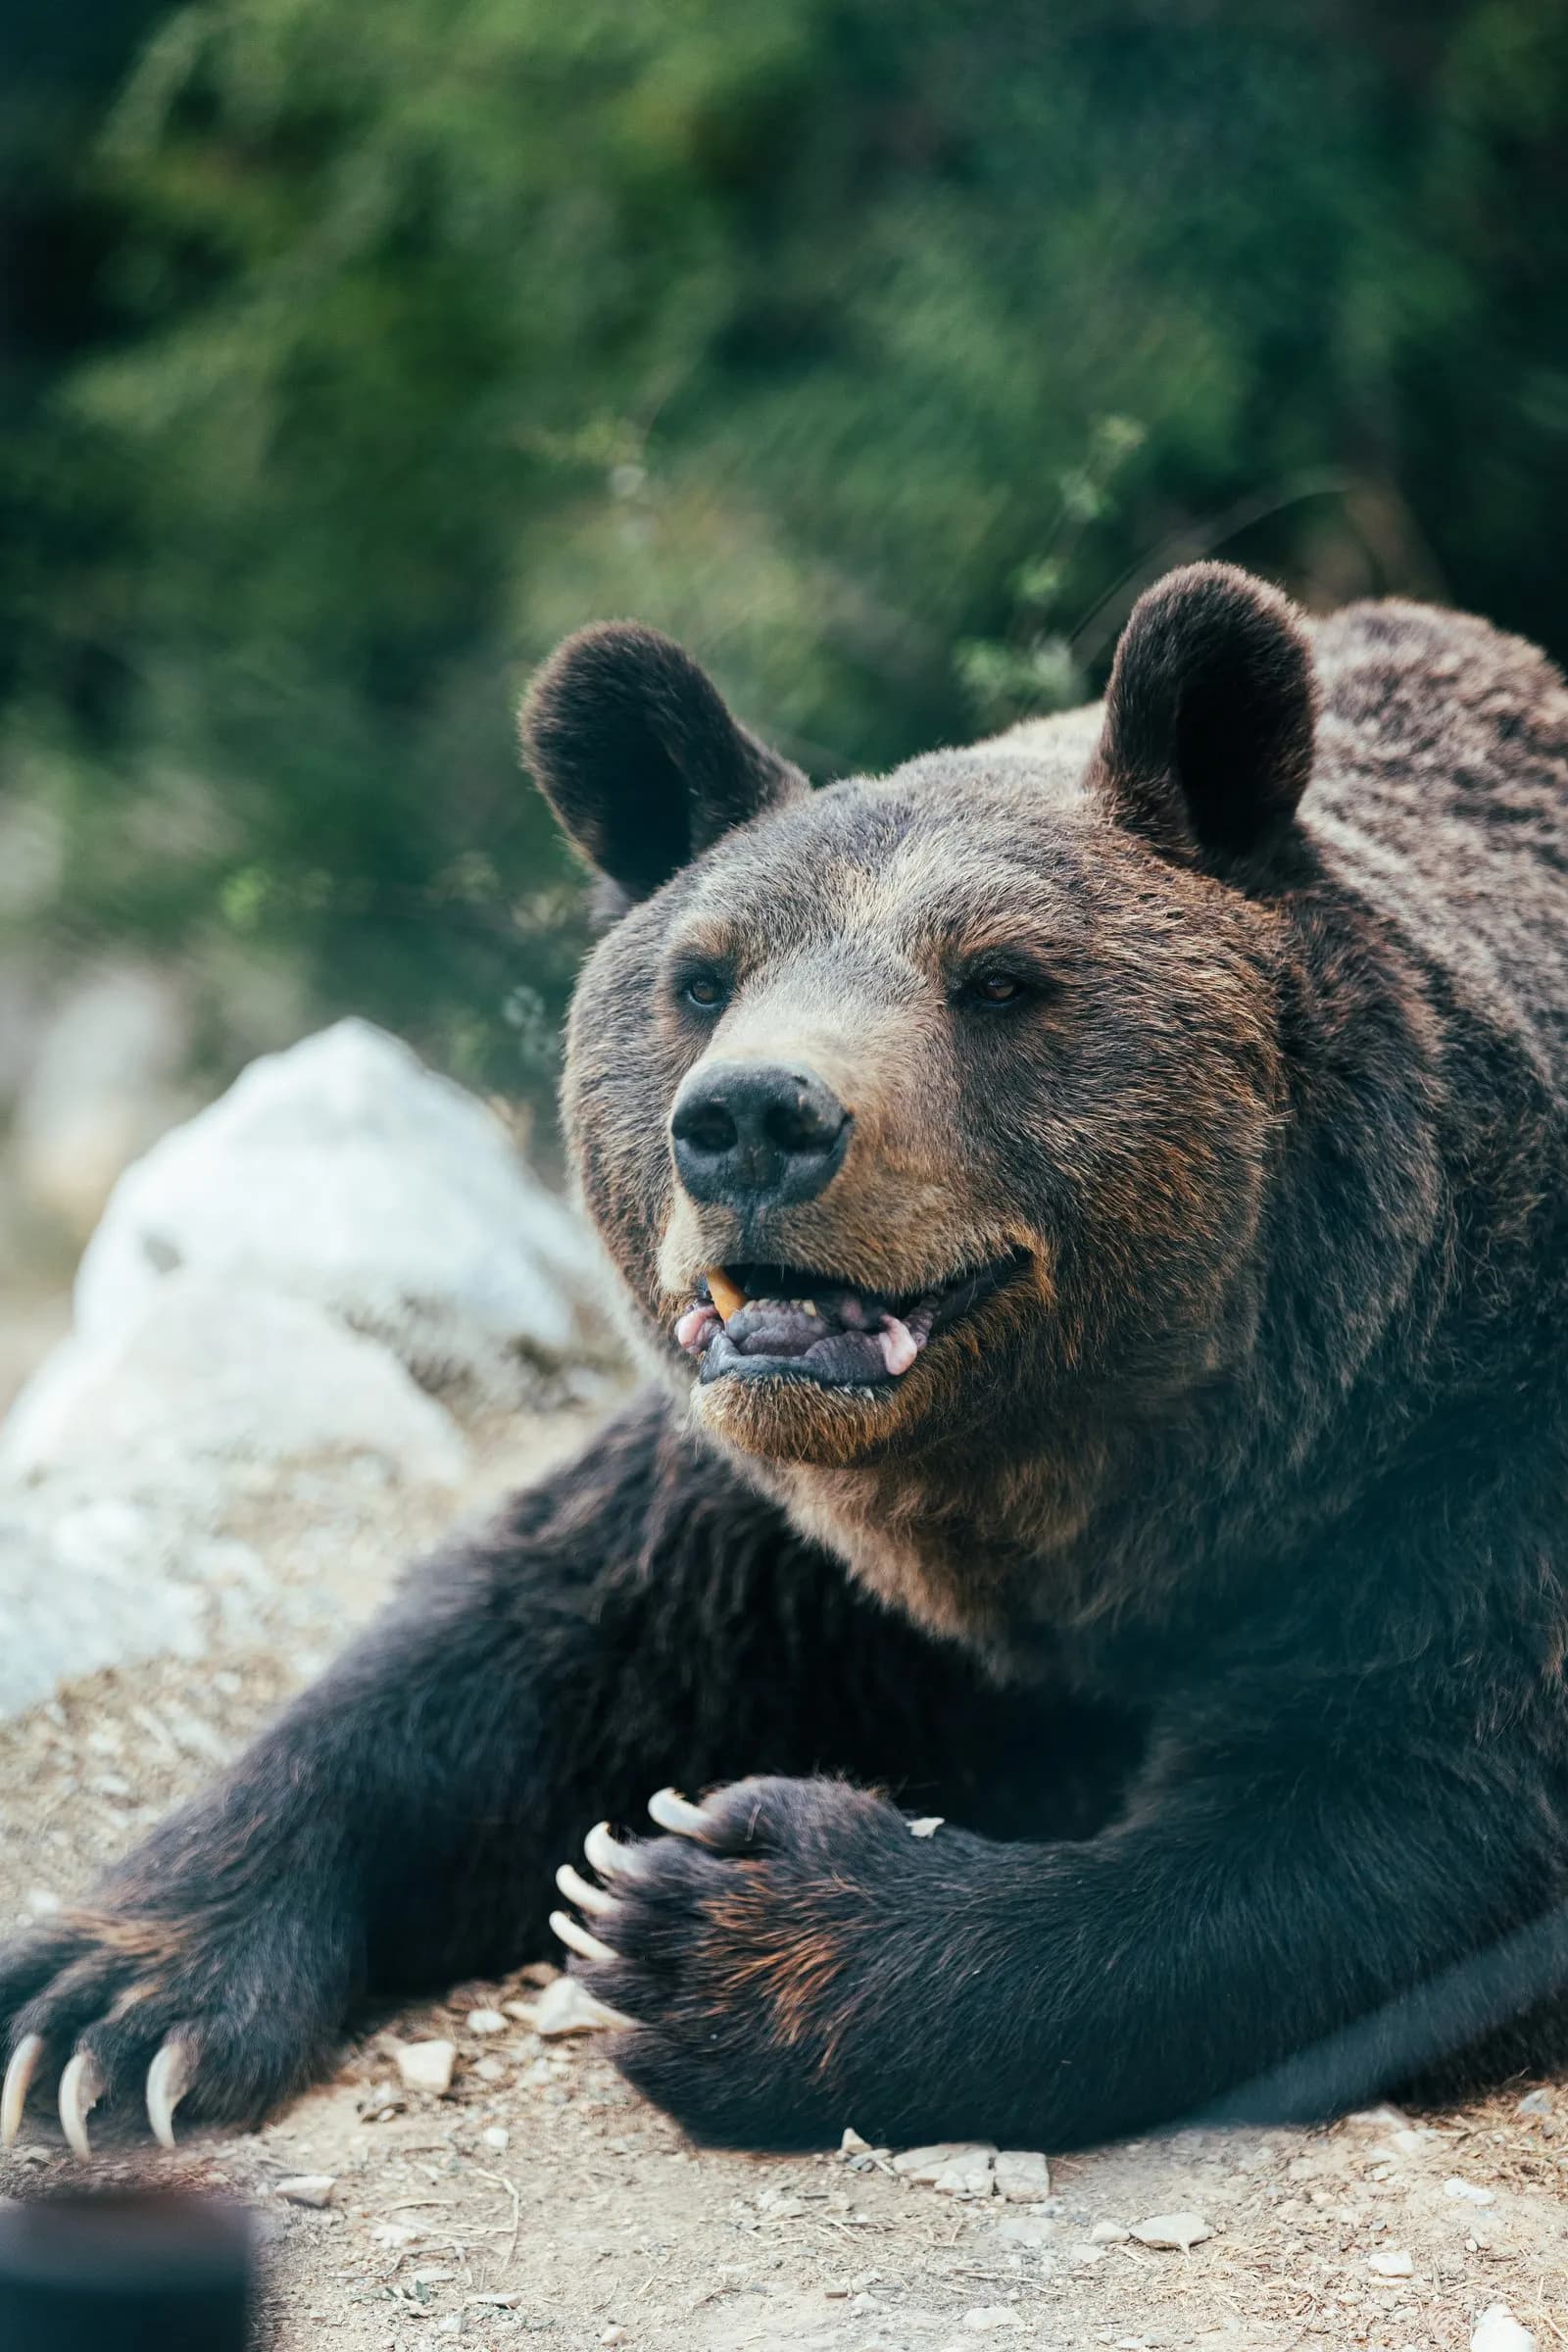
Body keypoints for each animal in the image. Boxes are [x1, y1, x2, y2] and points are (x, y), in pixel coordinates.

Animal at [4, 559, 1568, 2161]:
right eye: (702, 978)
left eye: (1000, 978)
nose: (752, 1119)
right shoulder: (778, 1525)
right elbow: (504, 1645)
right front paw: (103, 2002)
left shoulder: (1460, 1454)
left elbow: (1388, 1819)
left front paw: (701, 1909)